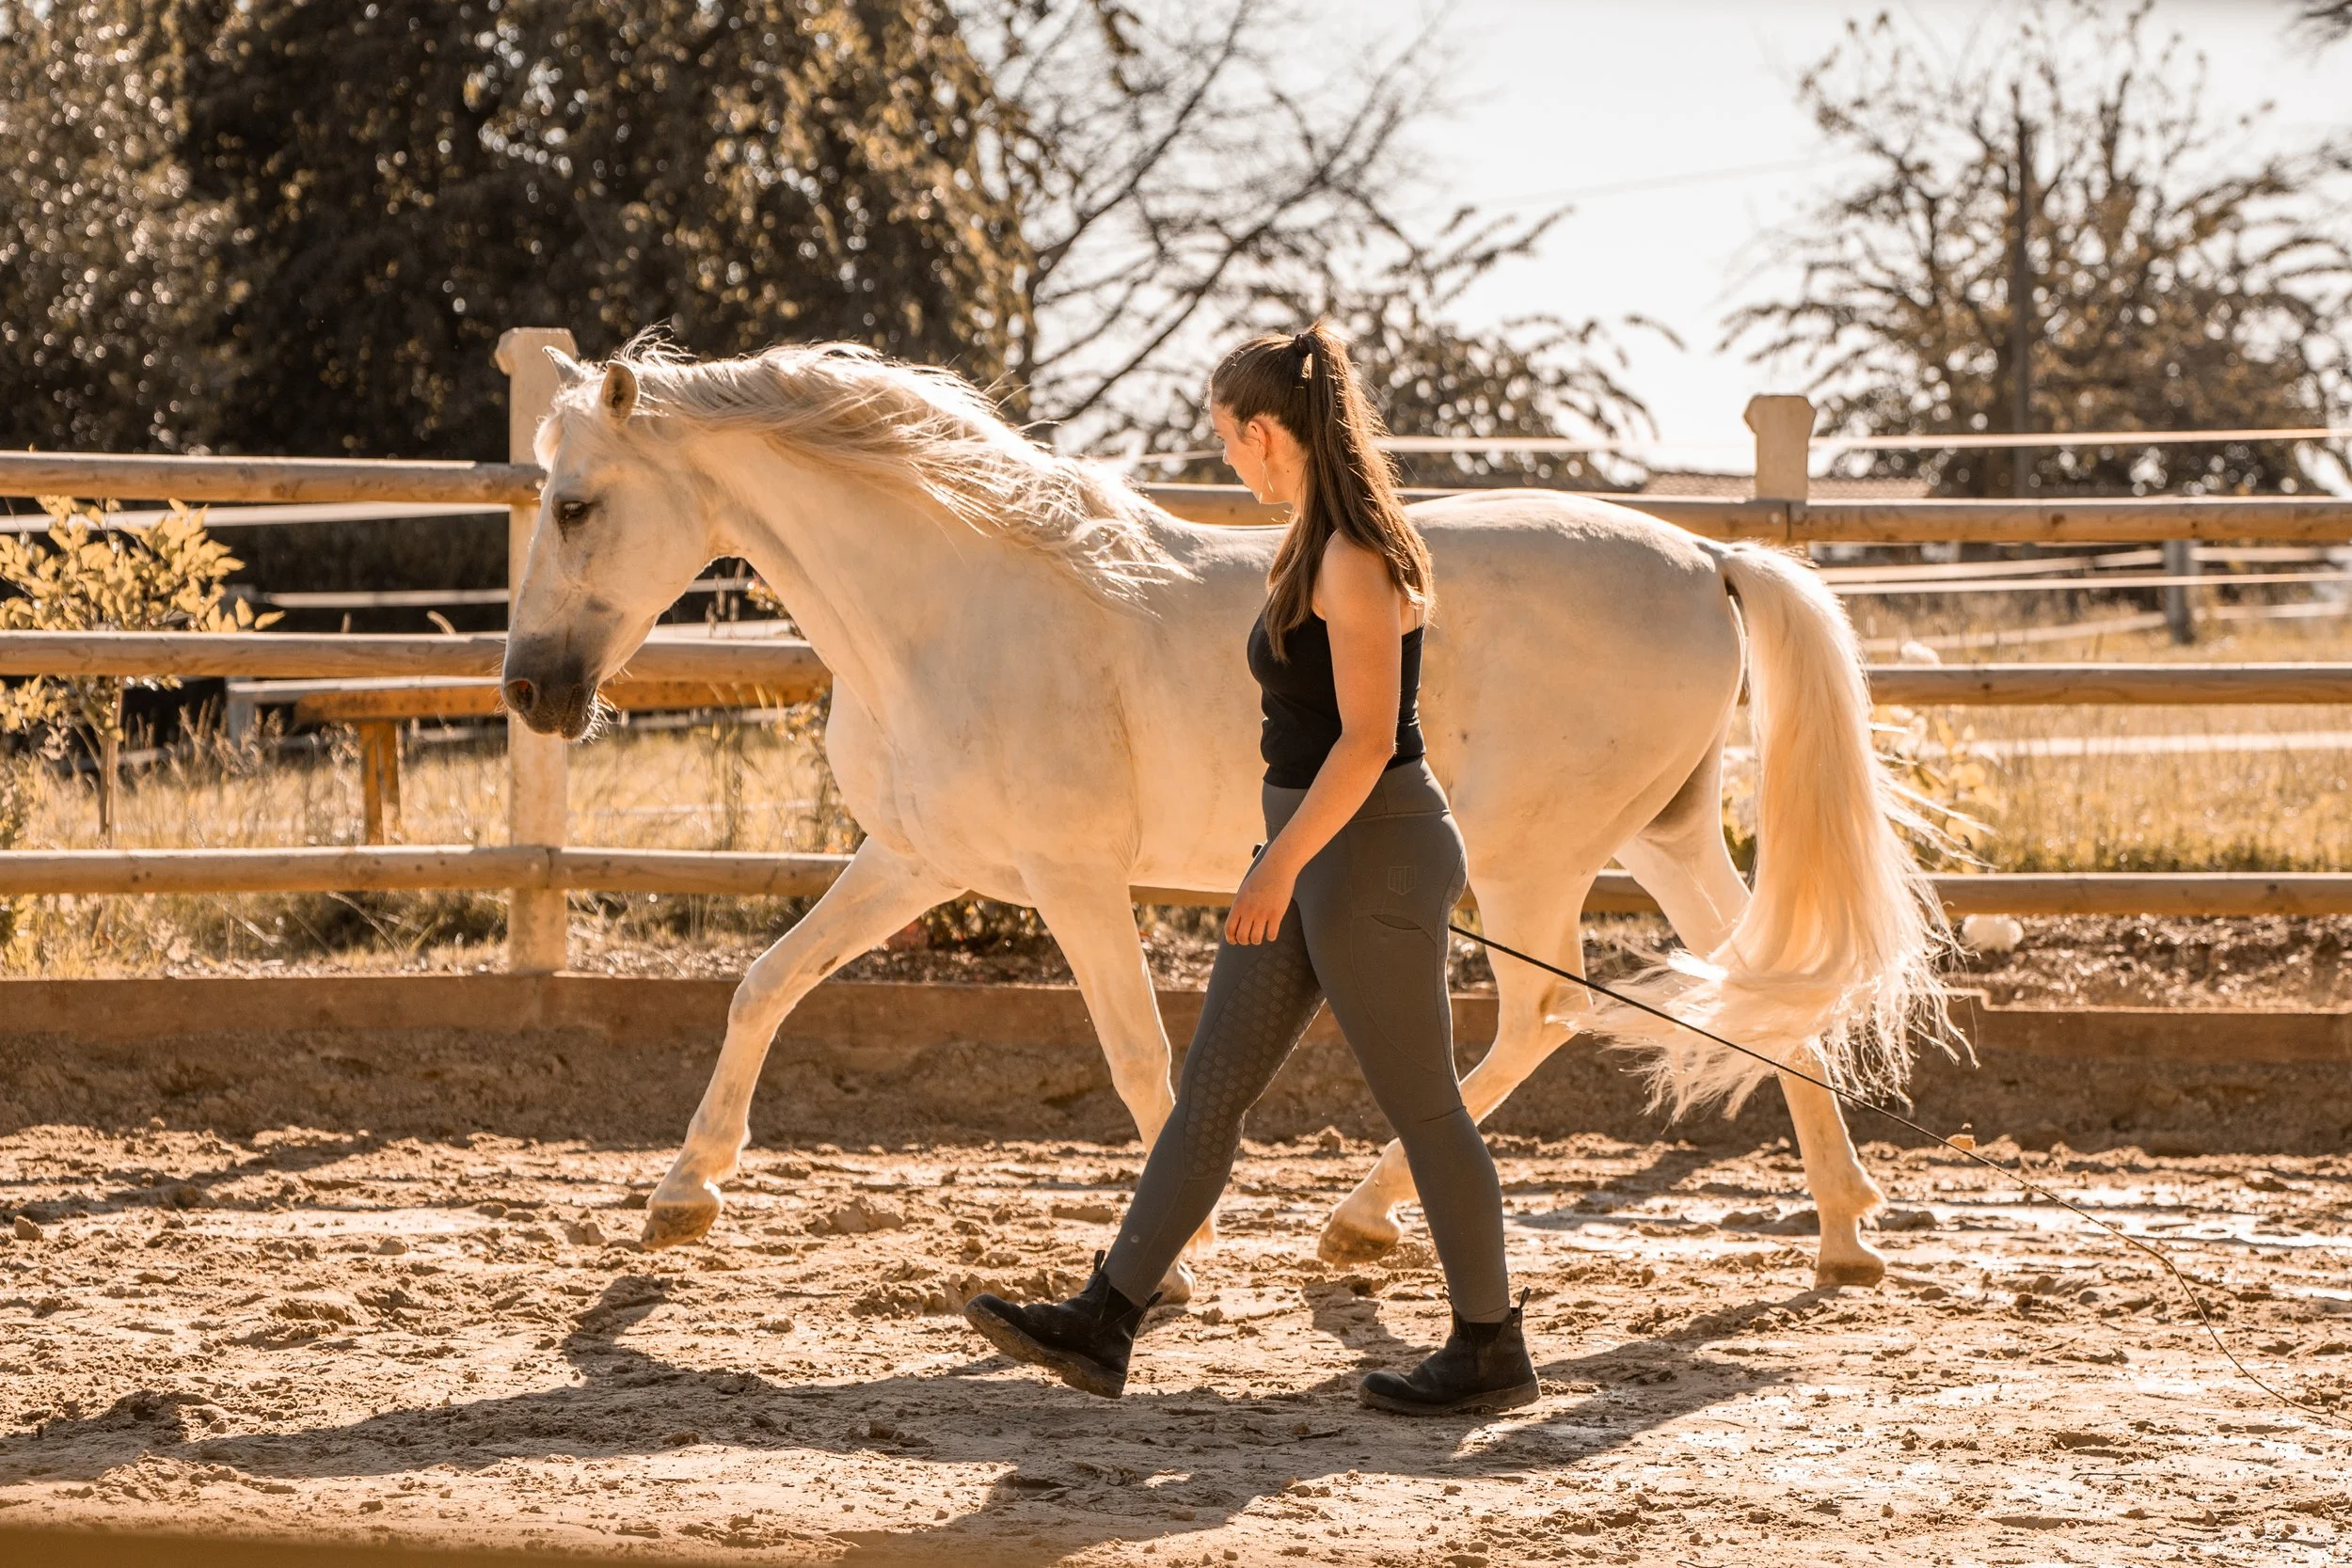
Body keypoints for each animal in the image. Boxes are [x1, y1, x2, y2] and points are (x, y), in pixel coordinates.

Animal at [499, 340, 1953, 1299]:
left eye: (575, 504)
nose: (530, 692)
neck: (949, 605)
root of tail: (1708, 556)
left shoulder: (1074, 879)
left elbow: (1144, 1057)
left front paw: (1181, 1256)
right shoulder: (914, 858)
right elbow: (765, 983)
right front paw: (683, 1196)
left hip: (1533, 856)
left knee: (1548, 1012)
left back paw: (1362, 1221)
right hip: (1664, 837)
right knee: (1770, 986)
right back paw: (1846, 1231)